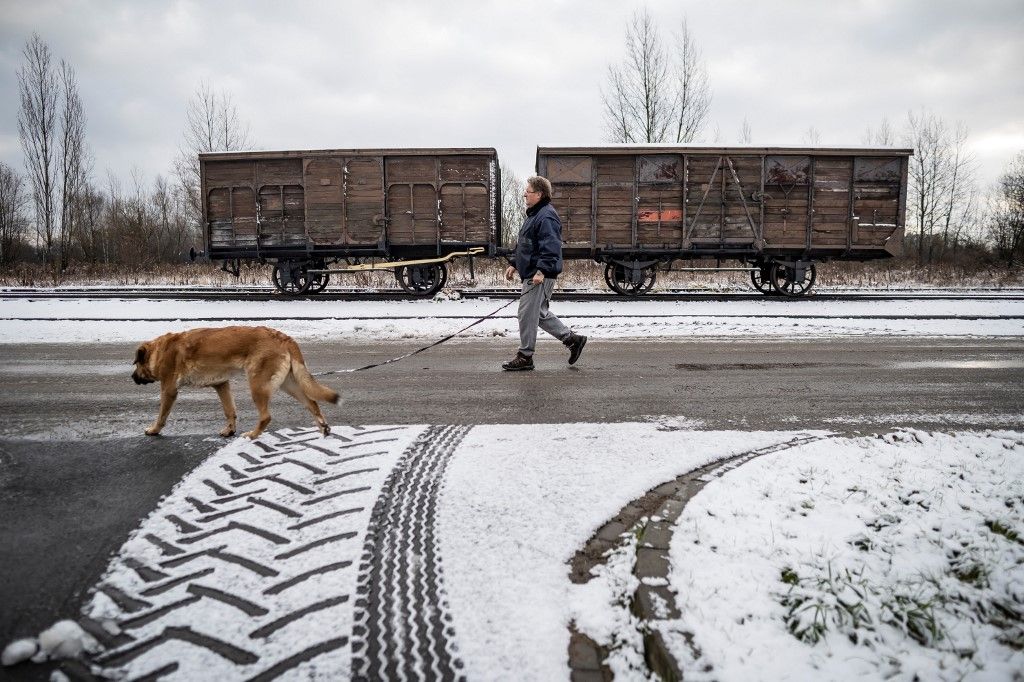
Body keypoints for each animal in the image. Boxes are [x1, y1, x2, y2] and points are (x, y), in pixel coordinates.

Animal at [130, 325, 339, 440]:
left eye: (137, 364)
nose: (132, 378)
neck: (160, 350)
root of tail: (283, 337)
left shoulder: (169, 389)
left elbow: (162, 415)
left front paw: (154, 429)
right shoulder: (222, 385)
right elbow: (229, 410)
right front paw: (230, 430)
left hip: (257, 385)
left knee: (266, 416)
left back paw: (253, 435)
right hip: (289, 384)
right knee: (312, 403)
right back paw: (323, 428)